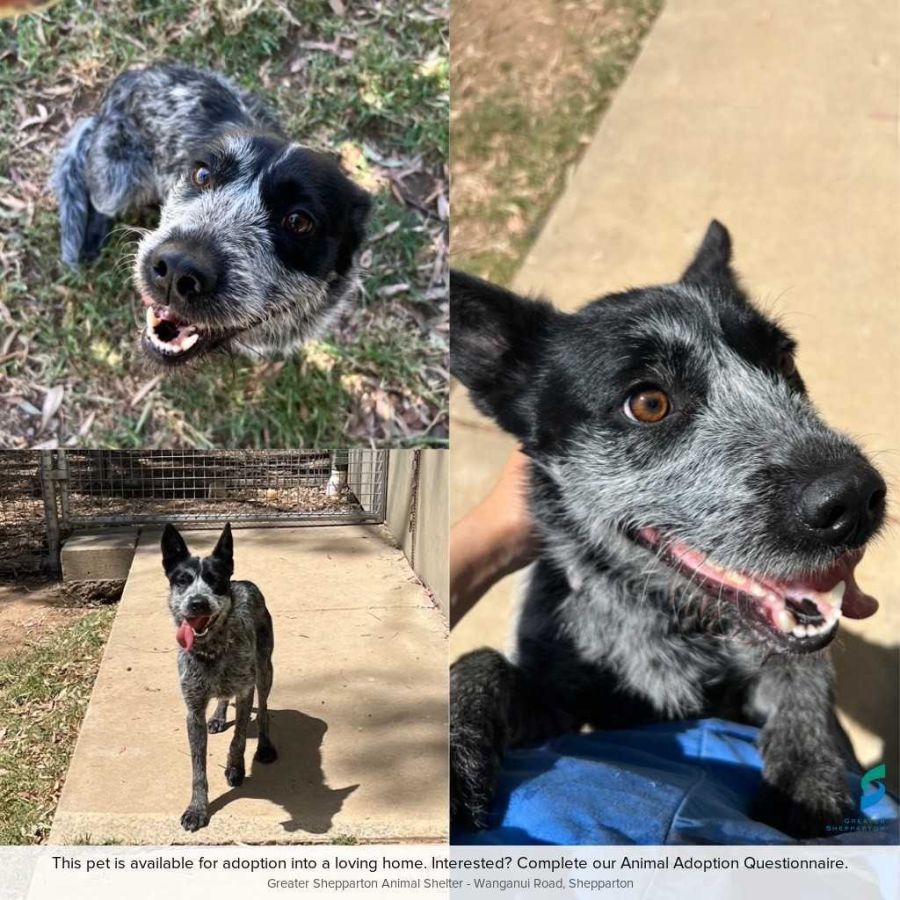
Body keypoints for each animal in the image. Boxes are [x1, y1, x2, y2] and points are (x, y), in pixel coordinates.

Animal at [160, 524, 276, 832]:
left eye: (215, 580)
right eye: (182, 580)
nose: (197, 603)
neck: (211, 650)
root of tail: (244, 582)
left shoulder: (246, 690)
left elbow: (239, 739)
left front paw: (235, 767)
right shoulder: (193, 711)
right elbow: (197, 767)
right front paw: (197, 808)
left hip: (265, 669)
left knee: (264, 711)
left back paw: (265, 745)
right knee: (225, 697)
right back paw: (219, 716)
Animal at [450, 221, 884, 840]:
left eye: (783, 359)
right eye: (649, 402)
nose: (856, 498)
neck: (665, 620)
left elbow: (806, 672)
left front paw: (809, 775)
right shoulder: (562, 710)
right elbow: (481, 662)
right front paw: (453, 763)